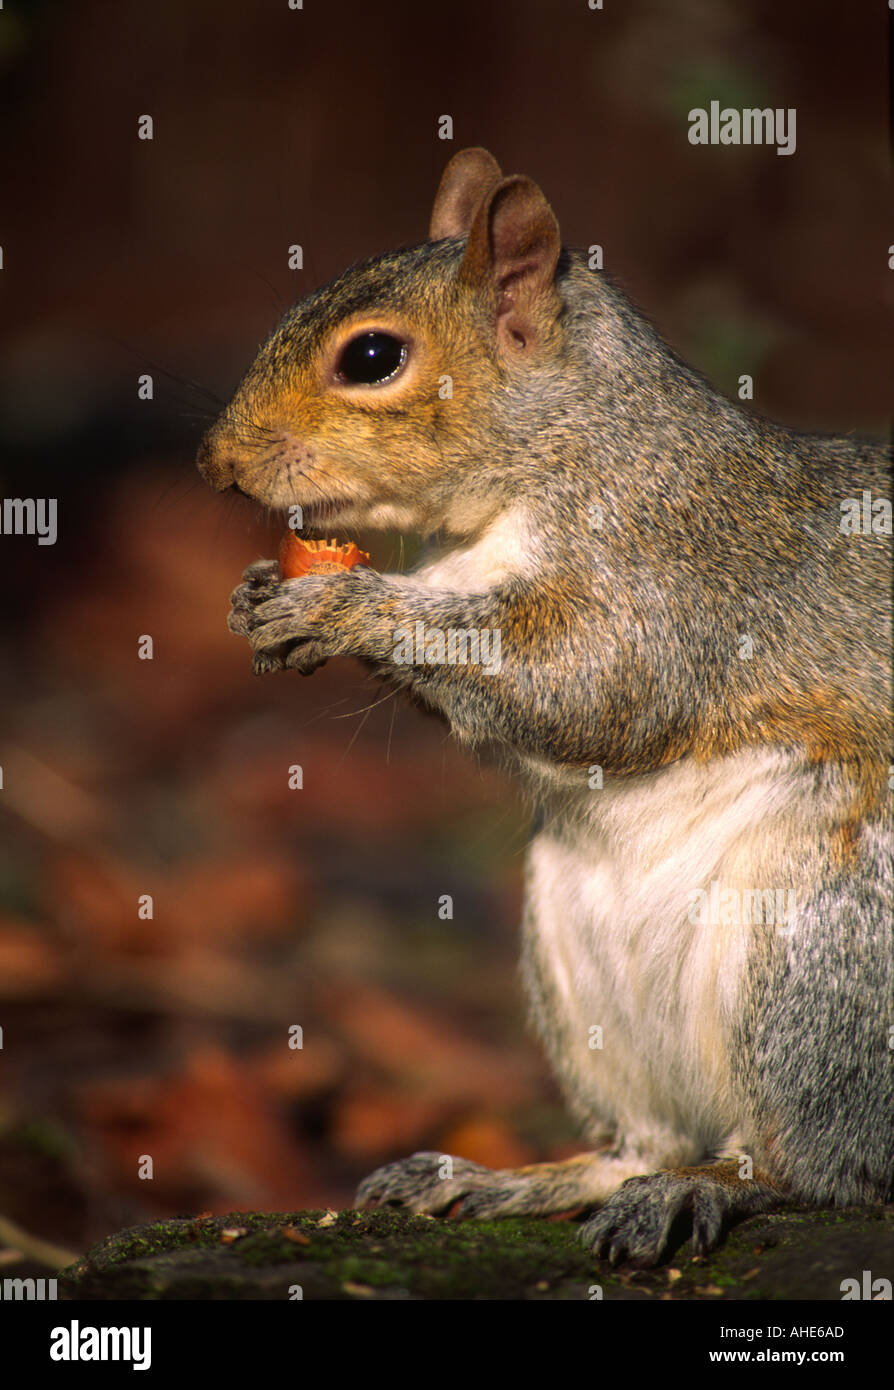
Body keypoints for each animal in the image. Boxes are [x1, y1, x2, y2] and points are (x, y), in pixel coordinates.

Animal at [198, 146, 894, 1267]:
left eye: (373, 356)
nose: (216, 463)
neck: (565, 447)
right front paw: (259, 595)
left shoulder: (669, 569)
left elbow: (593, 684)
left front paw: (346, 606)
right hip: (579, 966)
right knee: (639, 1141)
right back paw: (501, 1179)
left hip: (821, 951)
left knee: (813, 1169)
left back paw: (702, 1188)